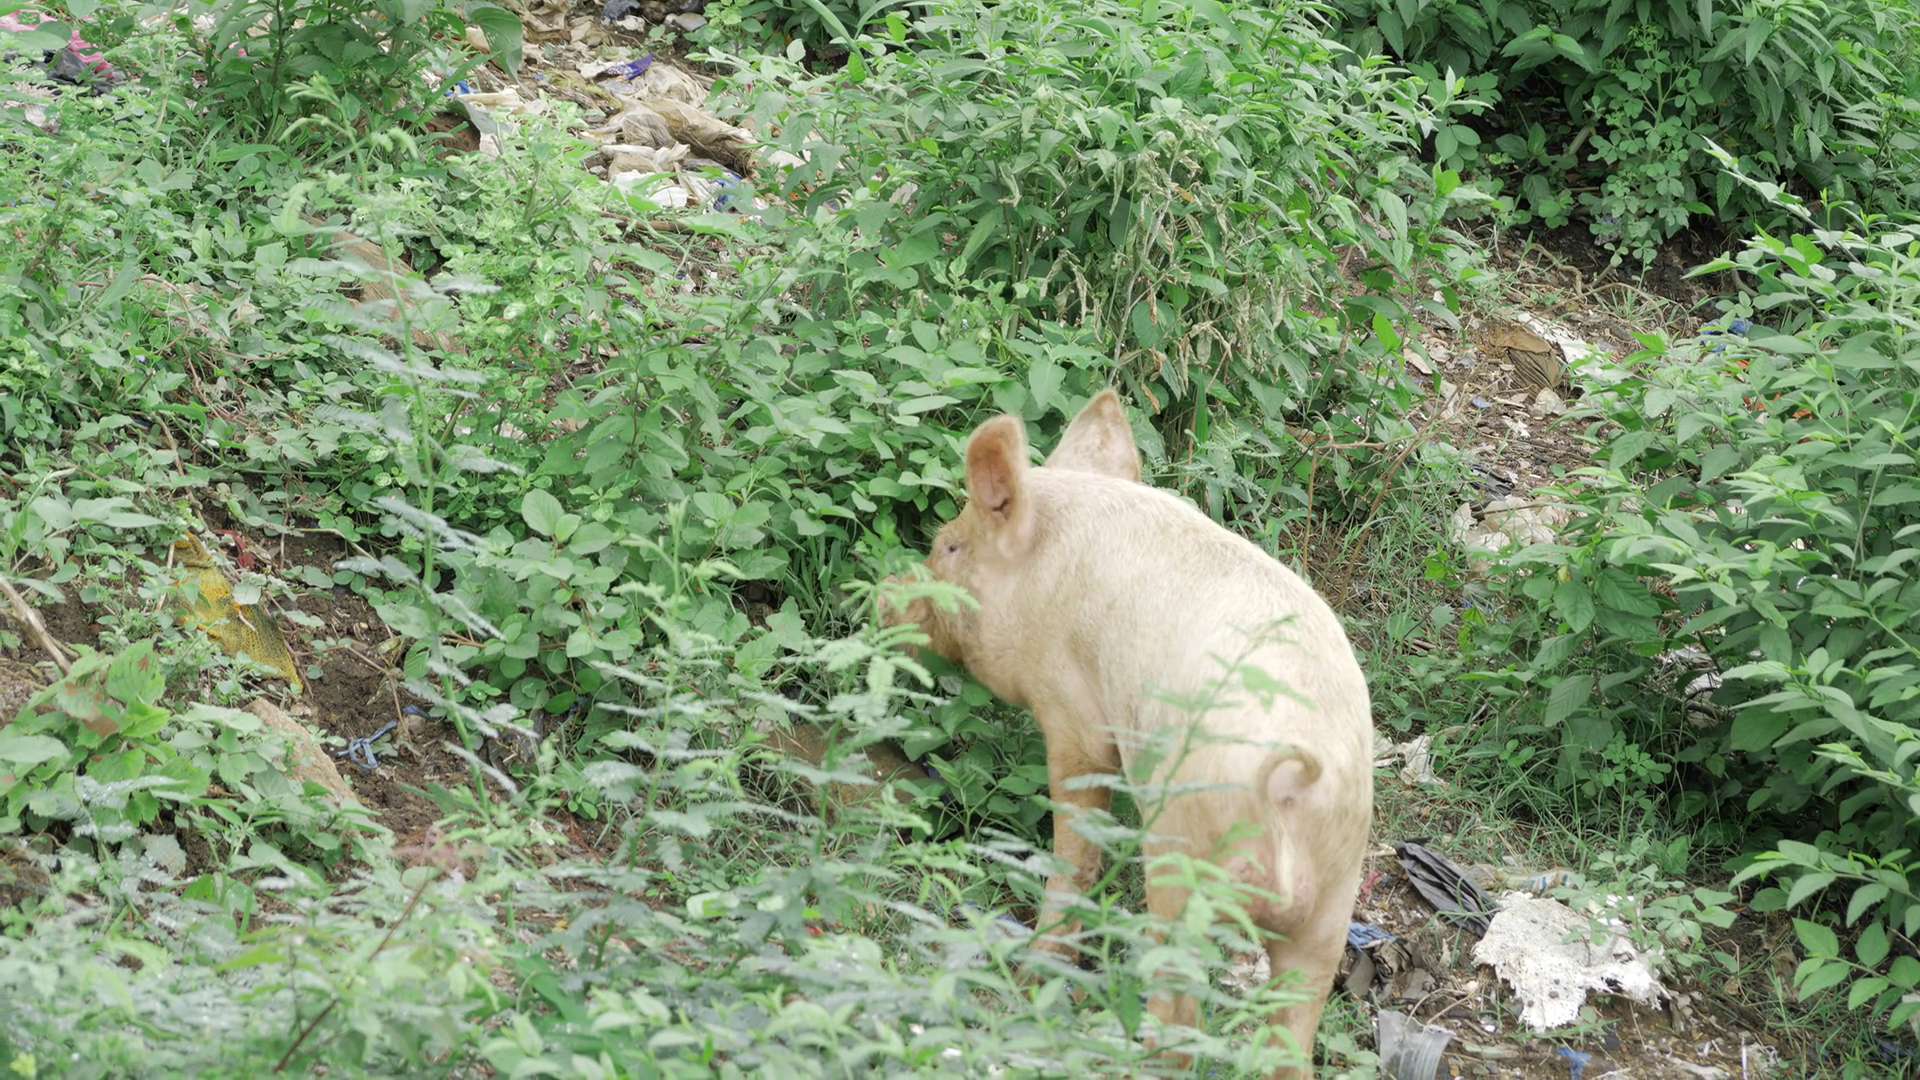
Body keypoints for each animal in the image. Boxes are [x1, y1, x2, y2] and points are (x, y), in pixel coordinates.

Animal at [881, 390, 1374, 1078]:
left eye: (949, 548)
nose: (883, 595)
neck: (1043, 576)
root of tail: (1292, 787)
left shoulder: (1073, 709)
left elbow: (1079, 836)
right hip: (1335, 892)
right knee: (1292, 1036)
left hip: (1187, 859)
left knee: (1181, 1012)